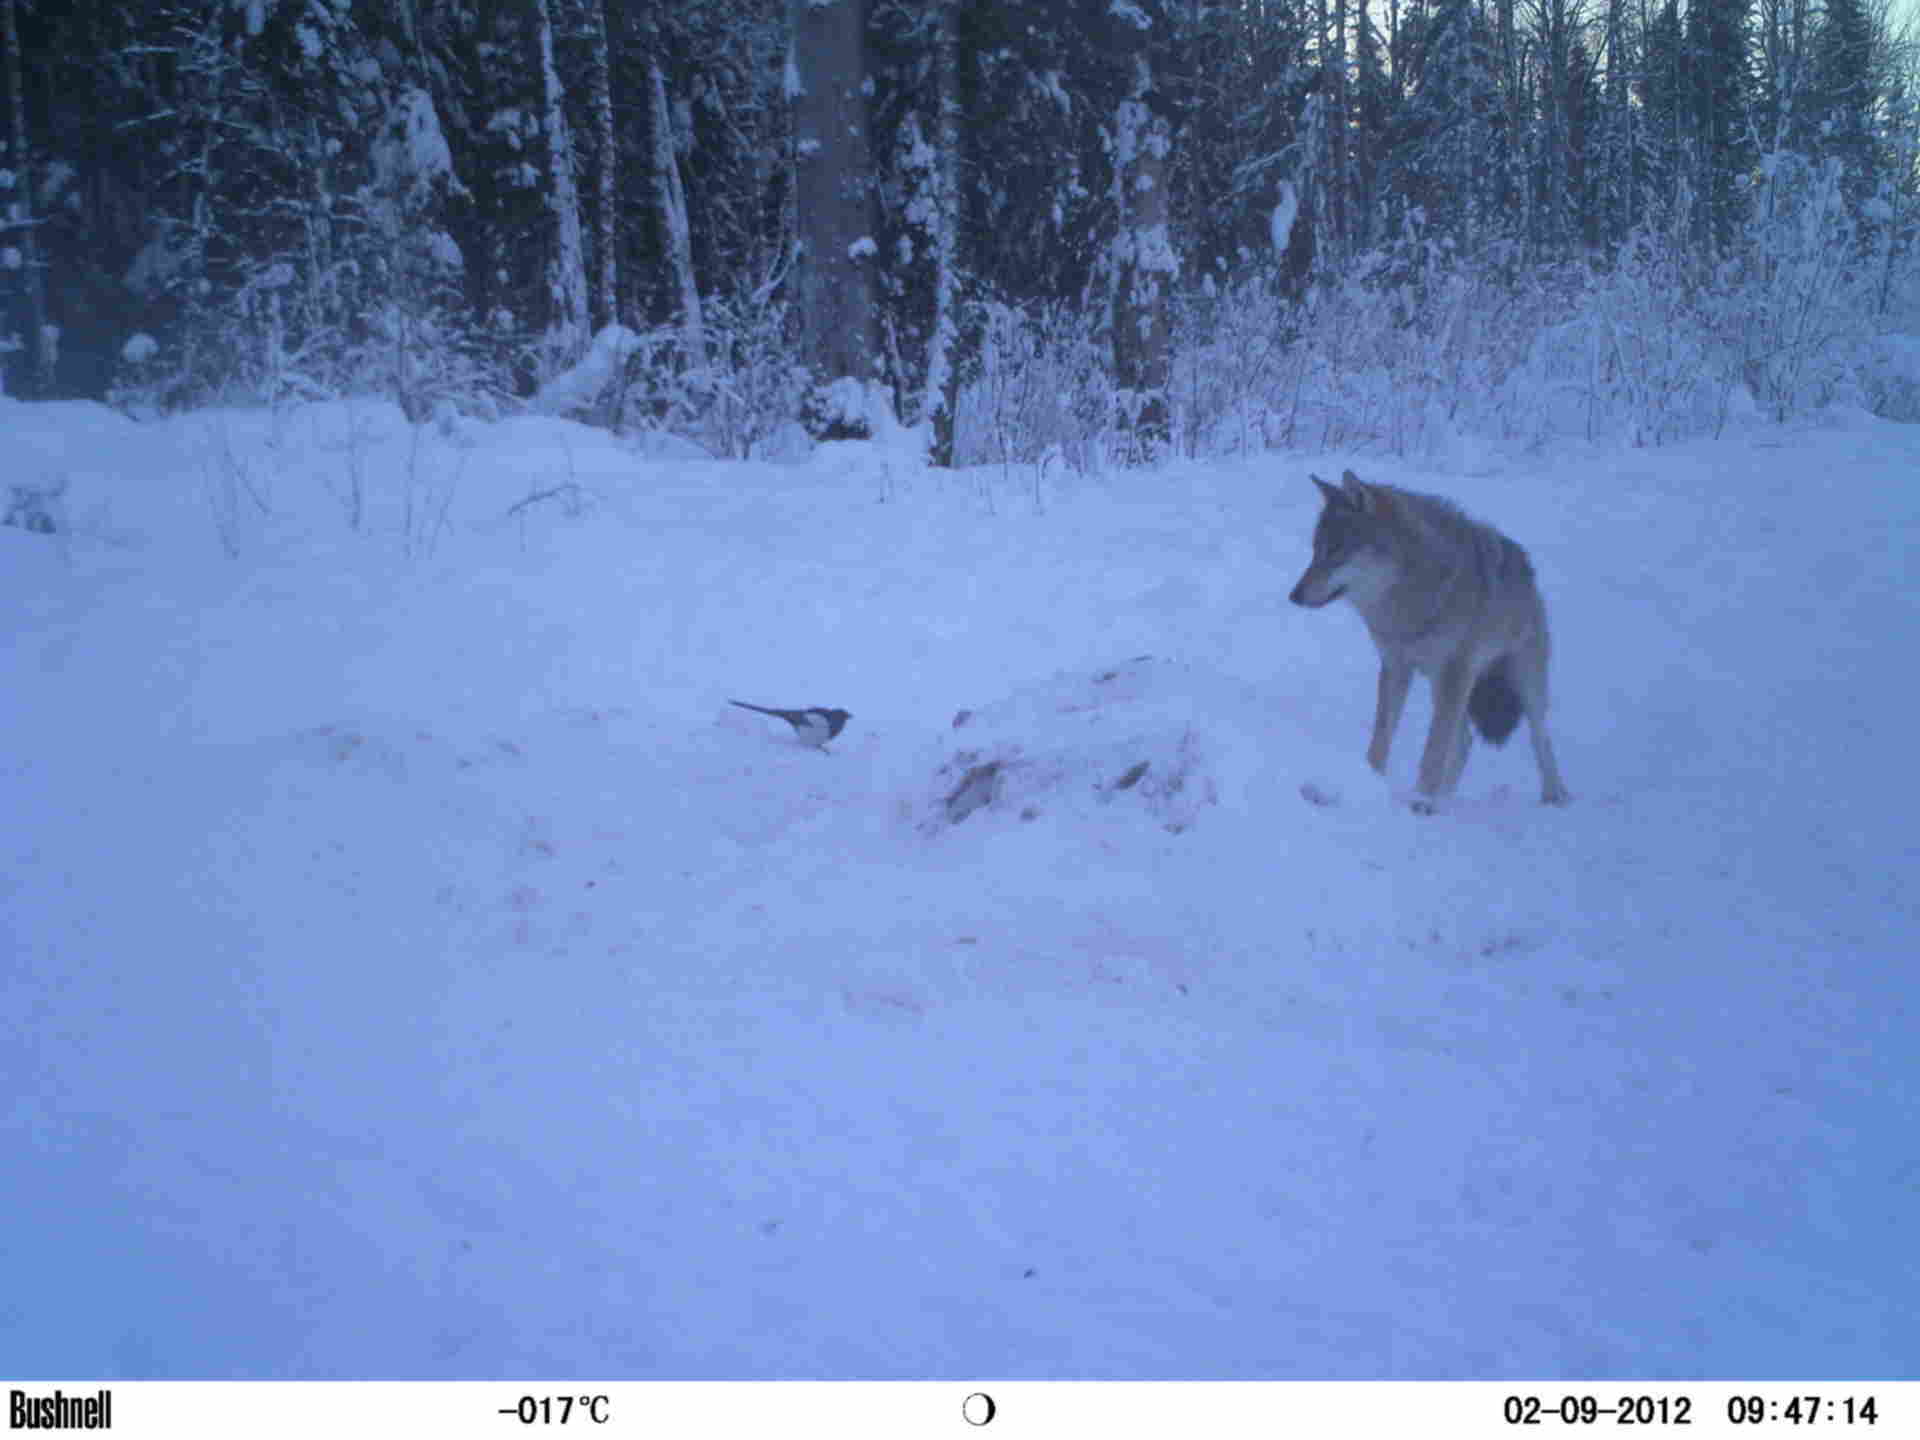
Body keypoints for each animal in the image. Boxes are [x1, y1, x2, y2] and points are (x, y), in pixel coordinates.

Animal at [1290, 474, 1574, 814]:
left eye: (1336, 551)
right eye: (1315, 551)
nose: (1294, 595)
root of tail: (1529, 572)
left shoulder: (1455, 672)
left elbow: (1435, 747)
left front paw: (1422, 802)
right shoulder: (1396, 667)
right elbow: (1383, 737)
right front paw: (1371, 783)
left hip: (1521, 683)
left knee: (1539, 736)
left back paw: (1554, 794)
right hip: (1444, 684)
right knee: (1464, 740)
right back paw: (1446, 798)